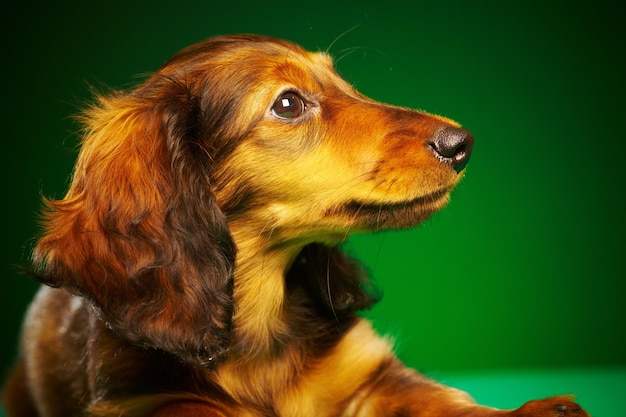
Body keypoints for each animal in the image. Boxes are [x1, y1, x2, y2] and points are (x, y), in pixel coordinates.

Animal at [2, 34, 584, 414]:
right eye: (288, 103)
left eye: (345, 84)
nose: (461, 144)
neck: (261, 322)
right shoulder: (153, 403)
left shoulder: (370, 373)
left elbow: (442, 401)